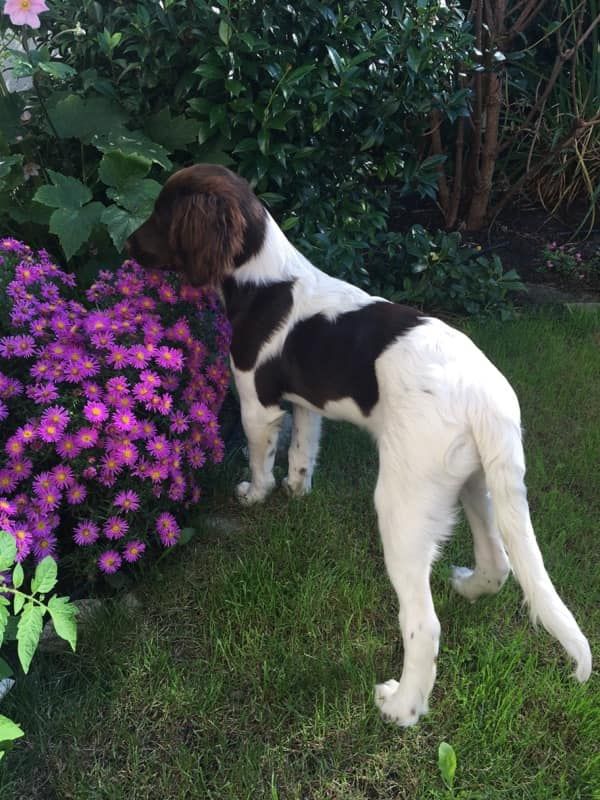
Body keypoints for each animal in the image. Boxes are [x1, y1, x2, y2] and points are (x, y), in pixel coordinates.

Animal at [126, 162, 592, 724]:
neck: (264, 279)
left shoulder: (257, 401)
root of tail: (487, 397)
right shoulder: (305, 403)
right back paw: (468, 586)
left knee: (424, 623)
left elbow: (261, 457)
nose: (127, 244)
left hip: (403, 502)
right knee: (500, 564)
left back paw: (402, 708)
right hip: (477, 480)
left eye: (161, 214)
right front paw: (297, 492)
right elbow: (302, 452)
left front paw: (255, 494)